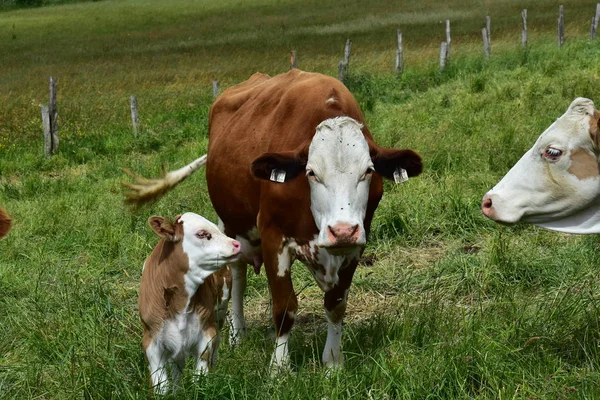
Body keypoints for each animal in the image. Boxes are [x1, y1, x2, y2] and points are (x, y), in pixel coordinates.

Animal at [125, 69, 422, 372]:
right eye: (311, 172)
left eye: (369, 171)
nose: (342, 231)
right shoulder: (273, 237)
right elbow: (284, 306)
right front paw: (278, 368)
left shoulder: (356, 246)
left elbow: (336, 304)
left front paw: (332, 363)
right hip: (229, 225)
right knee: (237, 278)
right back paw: (236, 334)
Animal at [139, 212, 240, 394]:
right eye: (202, 233)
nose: (236, 244)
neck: (180, 301)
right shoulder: (151, 339)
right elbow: (161, 385)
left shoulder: (207, 332)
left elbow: (199, 378)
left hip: (220, 310)